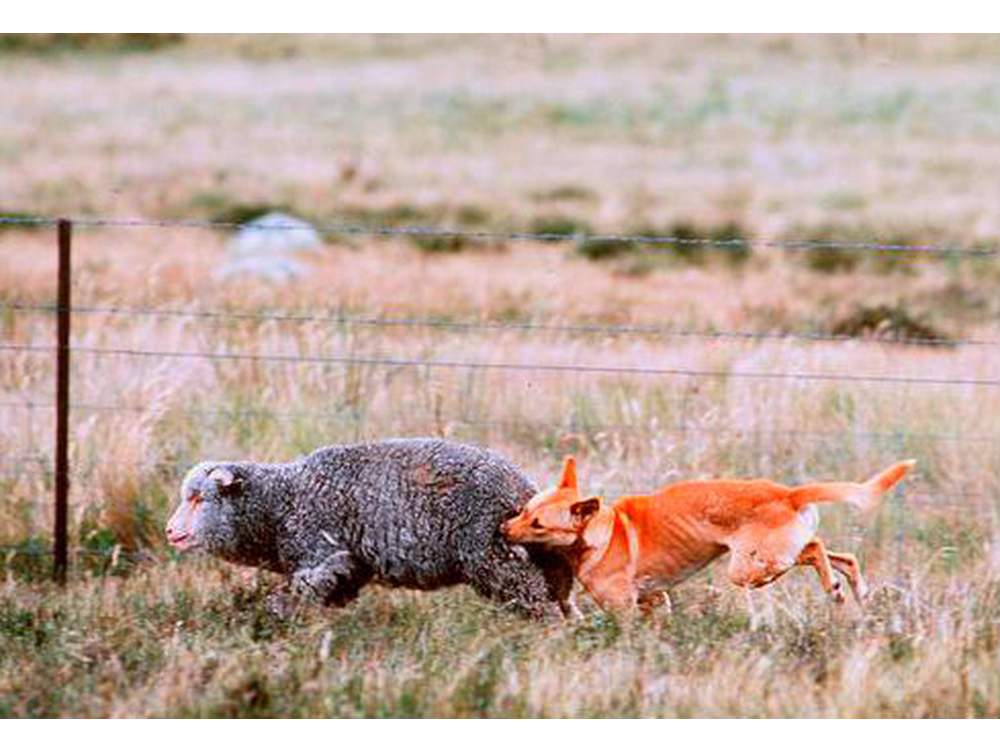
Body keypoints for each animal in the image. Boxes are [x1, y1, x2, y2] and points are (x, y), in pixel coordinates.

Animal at [167, 438, 576, 620]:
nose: (170, 532)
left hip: (499, 559)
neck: (280, 503)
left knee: (539, 602)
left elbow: (291, 597)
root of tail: (521, 488)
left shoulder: (317, 555)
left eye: (199, 500)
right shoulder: (347, 564)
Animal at [500, 456, 916, 612]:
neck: (601, 531)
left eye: (538, 524)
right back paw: (855, 588)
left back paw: (835, 587)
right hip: (768, 560)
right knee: (844, 556)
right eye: (524, 511)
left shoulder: (624, 609)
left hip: (749, 568)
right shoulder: (656, 602)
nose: (503, 528)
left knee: (815, 549)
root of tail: (786, 494)